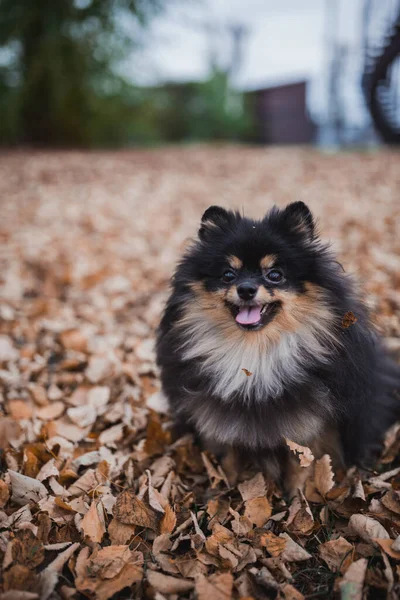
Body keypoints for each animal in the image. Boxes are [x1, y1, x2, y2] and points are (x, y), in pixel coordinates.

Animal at [155, 202, 398, 492]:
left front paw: (295, 497)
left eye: (275, 275)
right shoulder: (221, 420)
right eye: (228, 275)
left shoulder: (310, 425)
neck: (255, 352)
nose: (246, 289)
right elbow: (229, 461)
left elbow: (300, 467)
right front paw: (225, 491)